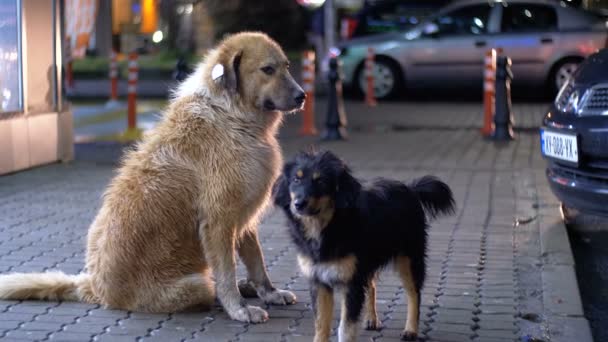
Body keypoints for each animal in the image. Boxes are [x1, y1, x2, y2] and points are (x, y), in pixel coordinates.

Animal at [0, 32, 304, 324]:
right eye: (267, 69)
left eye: (287, 67)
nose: (302, 96)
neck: (230, 113)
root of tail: (95, 289)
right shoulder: (219, 221)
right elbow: (227, 272)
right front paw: (239, 310)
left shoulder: (244, 218)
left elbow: (257, 262)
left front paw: (269, 292)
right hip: (196, 285)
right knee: (212, 287)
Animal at [274, 150, 454, 342]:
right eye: (296, 179)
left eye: (321, 181)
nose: (298, 204)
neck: (327, 227)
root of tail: (410, 188)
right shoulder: (320, 281)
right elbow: (322, 324)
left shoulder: (351, 283)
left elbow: (346, 328)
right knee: (371, 285)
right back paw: (372, 319)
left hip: (409, 258)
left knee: (414, 293)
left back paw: (411, 330)